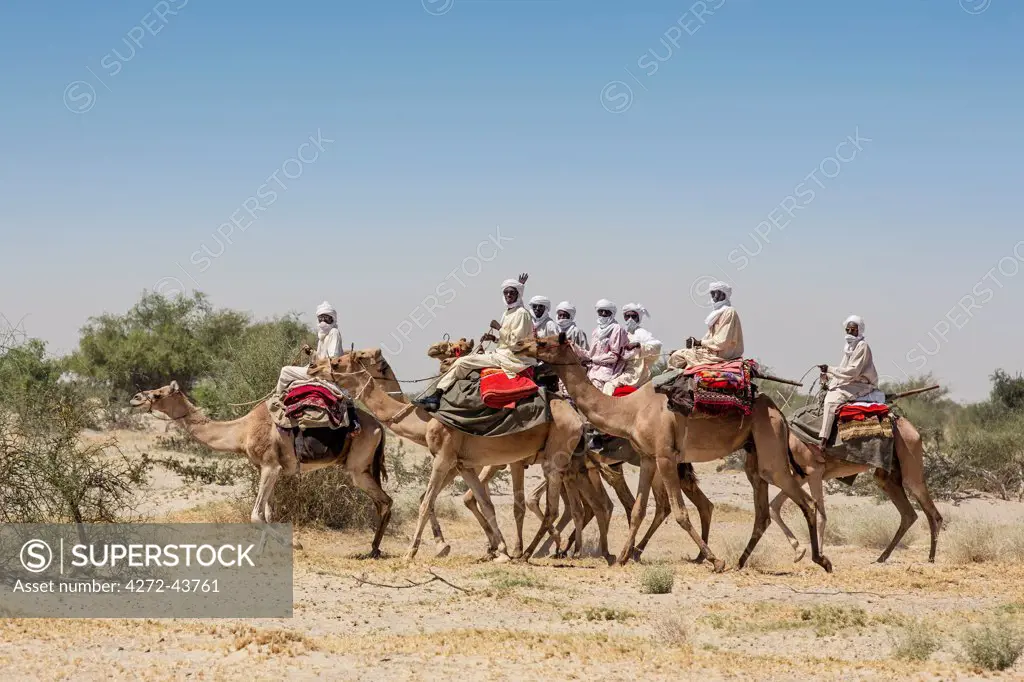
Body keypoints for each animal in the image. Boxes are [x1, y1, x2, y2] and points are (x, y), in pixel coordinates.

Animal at [130, 378, 393, 557]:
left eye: (158, 394)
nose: (136, 398)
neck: (242, 431)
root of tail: (379, 426)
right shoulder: (269, 469)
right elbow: (269, 513)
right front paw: (260, 551)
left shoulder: (270, 466)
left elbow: (256, 515)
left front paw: (294, 543)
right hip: (364, 467)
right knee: (382, 501)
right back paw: (374, 548)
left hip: (357, 467)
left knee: (385, 500)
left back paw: (373, 550)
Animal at [311, 348, 614, 561]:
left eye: (338, 362)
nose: (313, 365)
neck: (426, 420)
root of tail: (576, 416)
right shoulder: (464, 464)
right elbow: (485, 503)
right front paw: (499, 550)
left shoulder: (444, 457)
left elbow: (425, 502)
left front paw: (413, 551)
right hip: (567, 462)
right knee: (580, 505)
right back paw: (569, 550)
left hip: (556, 456)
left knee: (556, 506)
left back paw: (539, 552)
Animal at [516, 331, 835, 569]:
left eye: (542, 342)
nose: (519, 344)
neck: (630, 410)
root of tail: (779, 411)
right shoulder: (648, 457)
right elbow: (637, 510)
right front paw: (623, 556)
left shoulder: (666, 457)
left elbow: (679, 513)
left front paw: (715, 560)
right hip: (753, 452)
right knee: (761, 510)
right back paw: (742, 561)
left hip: (770, 444)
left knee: (804, 501)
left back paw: (820, 559)